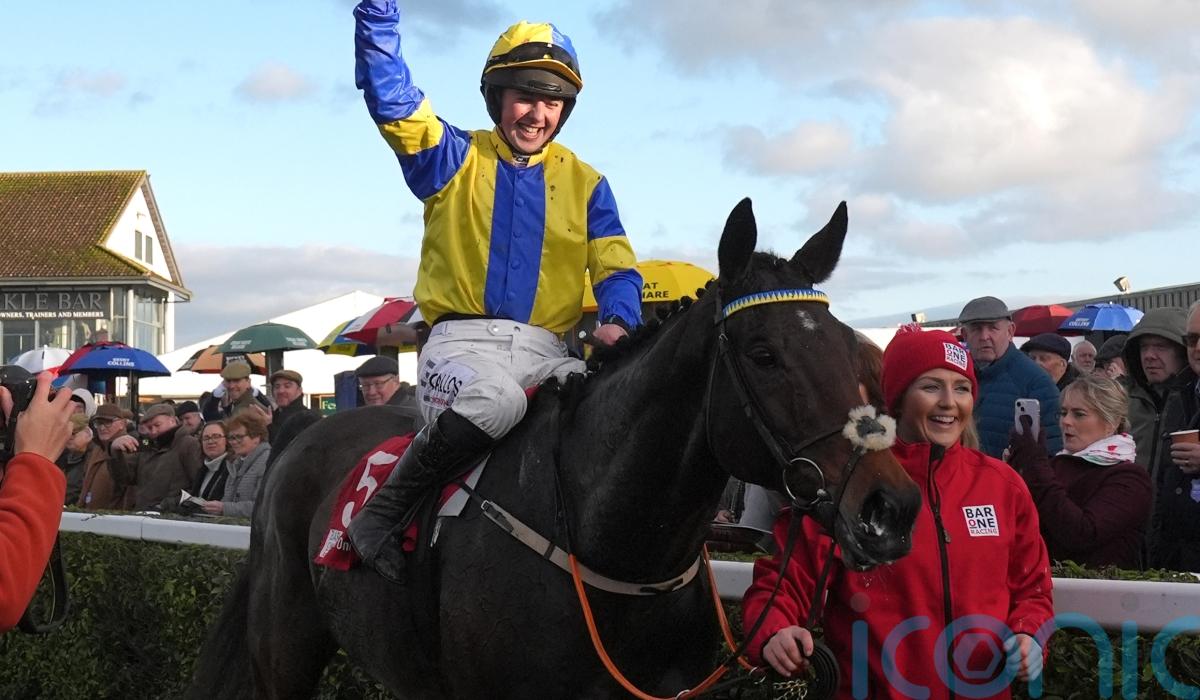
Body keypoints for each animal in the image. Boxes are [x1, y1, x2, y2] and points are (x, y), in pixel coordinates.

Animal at [188, 199, 922, 699]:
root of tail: (299, 438)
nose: (891, 507)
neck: (611, 548)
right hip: (285, 647)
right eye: (764, 353)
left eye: (852, 347)